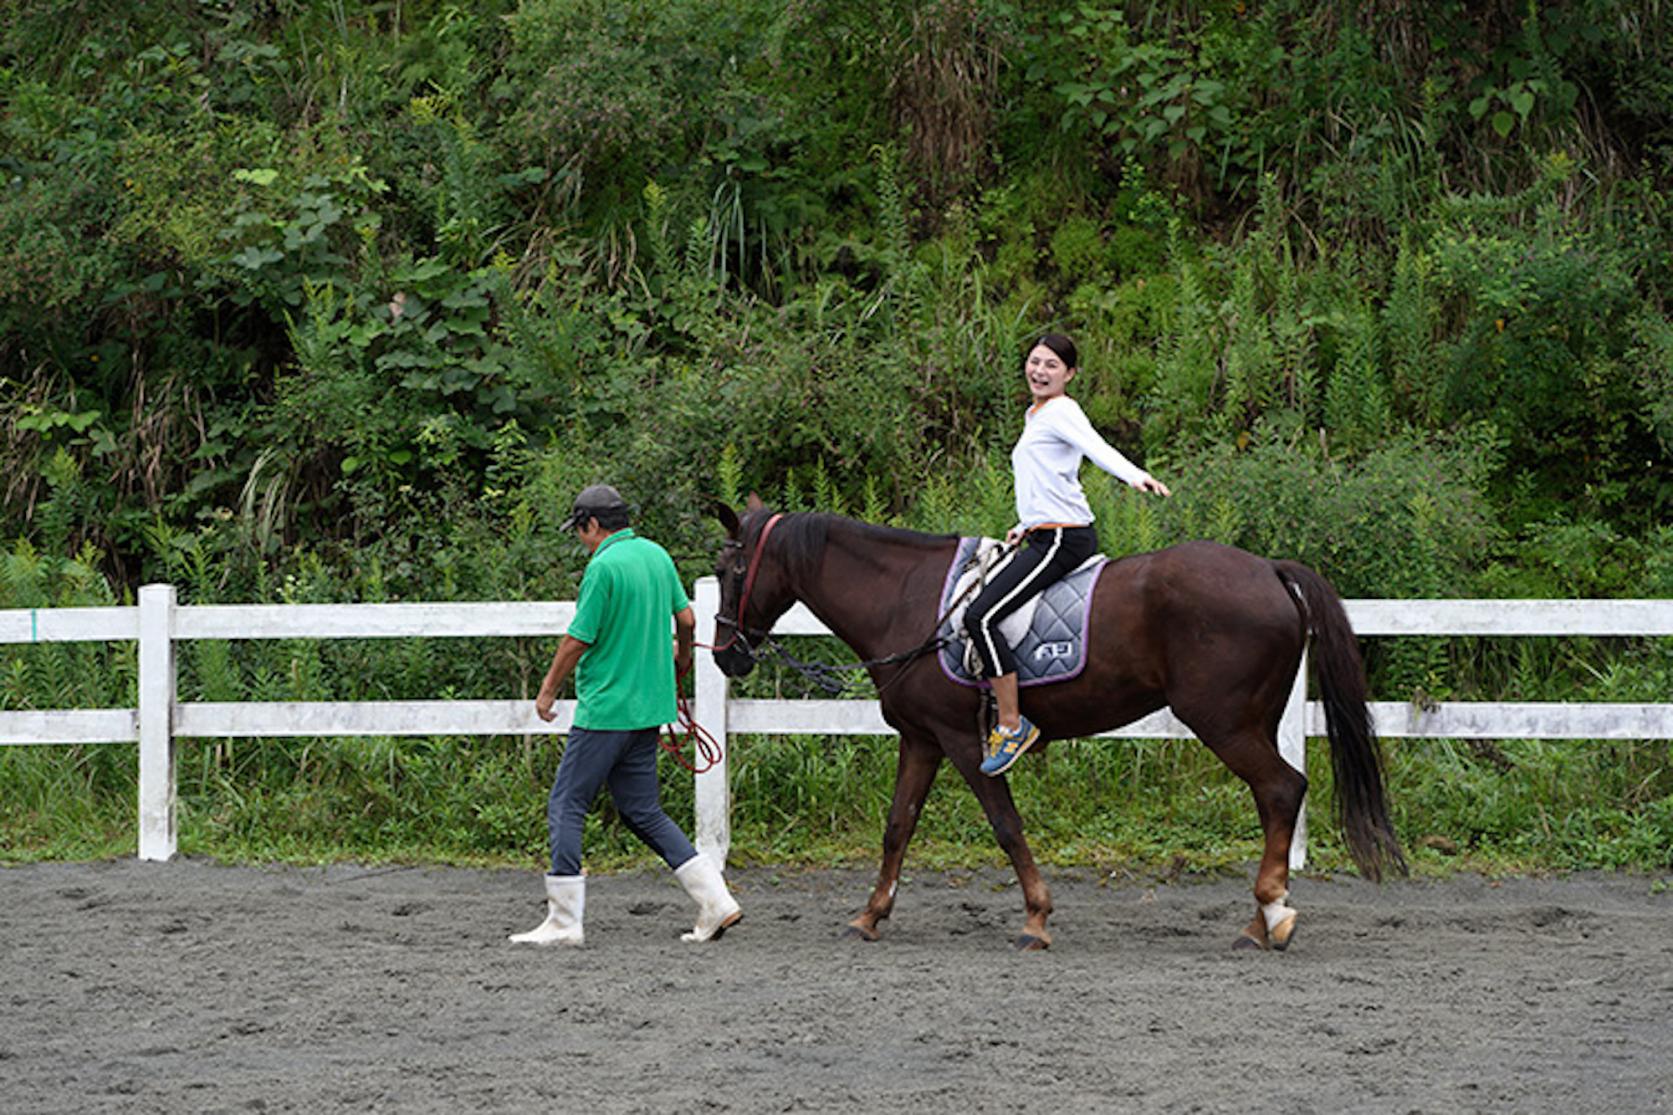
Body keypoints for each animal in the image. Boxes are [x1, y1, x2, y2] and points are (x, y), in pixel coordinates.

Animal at [712, 498, 1405, 950]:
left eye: (728, 570)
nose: (725, 655)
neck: (907, 598)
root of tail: (1269, 570)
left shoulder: (963, 742)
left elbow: (1006, 826)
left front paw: (1036, 919)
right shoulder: (922, 739)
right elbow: (897, 829)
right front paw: (871, 915)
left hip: (1225, 723)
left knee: (1283, 789)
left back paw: (1271, 917)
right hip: (1249, 721)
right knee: (1275, 796)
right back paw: (1262, 918)